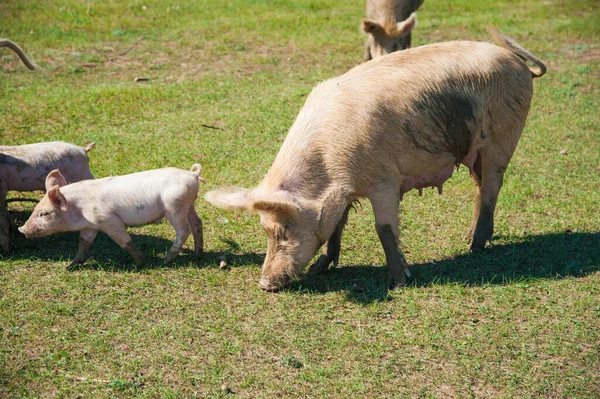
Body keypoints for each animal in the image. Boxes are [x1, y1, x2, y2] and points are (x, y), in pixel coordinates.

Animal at [18, 164, 206, 268]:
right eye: (35, 209)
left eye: (43, 213)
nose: (21, 229)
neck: (79, 208)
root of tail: (192, 174)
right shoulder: (90, 226)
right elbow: (83, 242)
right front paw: (70, 266)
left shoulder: (109, 221)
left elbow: (125, 241)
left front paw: (141, 262)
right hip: (189, 204)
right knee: (197, 223)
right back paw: (197, 256)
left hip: (174, 206)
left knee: (184, 229)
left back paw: (166, 261)